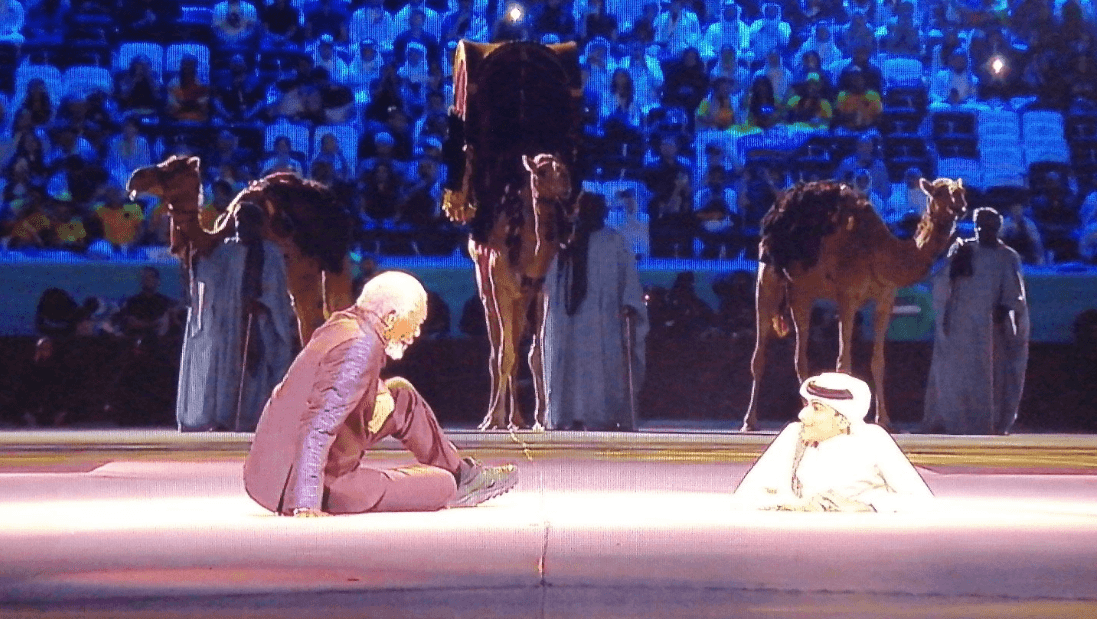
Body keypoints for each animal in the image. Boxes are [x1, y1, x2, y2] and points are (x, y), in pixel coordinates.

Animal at [745, 177, 969, 430]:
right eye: (939, 193)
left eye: (962, 192)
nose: (961, 208)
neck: (879, 252)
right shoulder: (847, 295)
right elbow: (844, 363)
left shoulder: (885, 298)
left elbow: (878, 362)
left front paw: (885, 420)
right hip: (767, 278)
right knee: (760, 354)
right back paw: (750, 421)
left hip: (801, 293)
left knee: (799, 356)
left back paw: (807, 413)